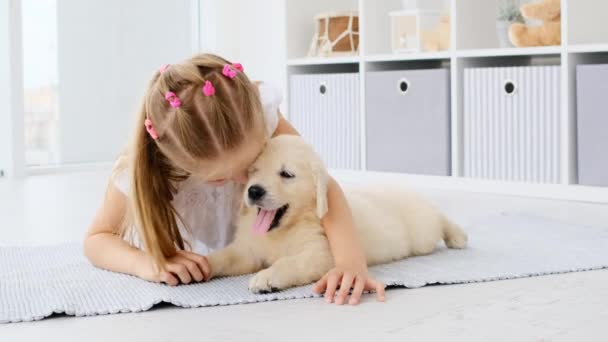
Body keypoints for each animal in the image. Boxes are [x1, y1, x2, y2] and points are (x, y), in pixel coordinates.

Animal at [207, 135, 468, 292]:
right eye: (254, 171)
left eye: (286, 174)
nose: (253, 191)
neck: (284, 229)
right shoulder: (248, 251)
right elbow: (225, 257)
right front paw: (202, 265)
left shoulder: (321, 253)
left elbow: (289, 262)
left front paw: (267, 276)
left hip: (422, 233)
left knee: (439, 219)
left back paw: (456, 235)